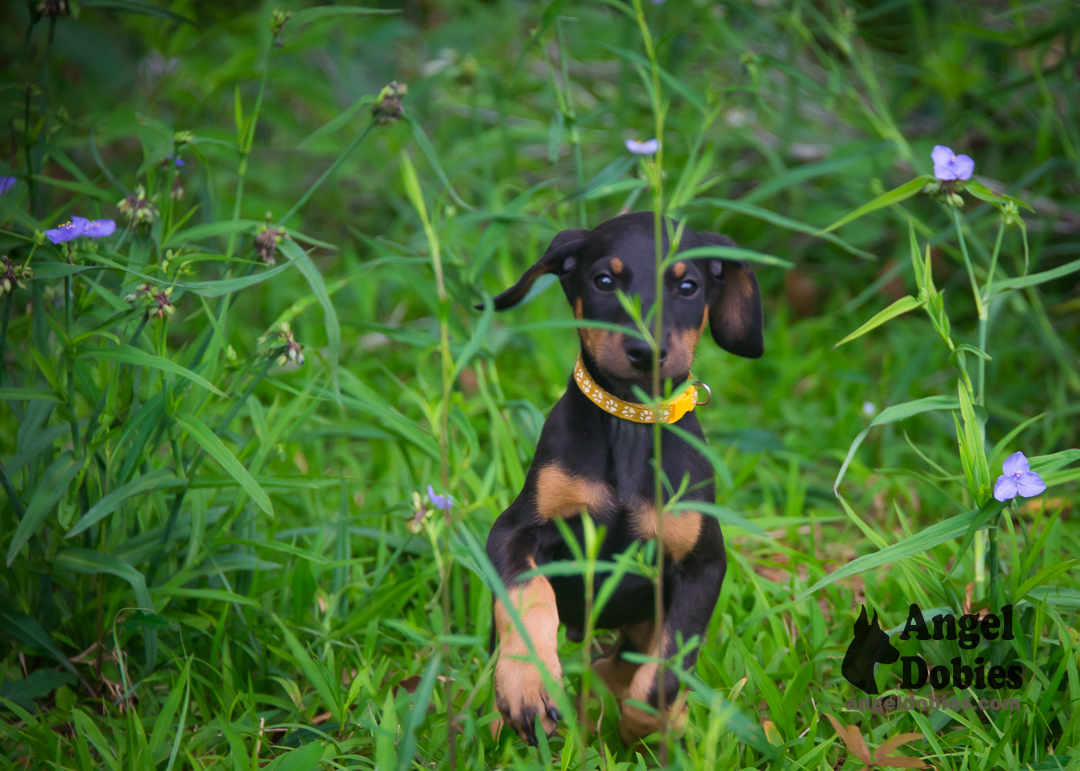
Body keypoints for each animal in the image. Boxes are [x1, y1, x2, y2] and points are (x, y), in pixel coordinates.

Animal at [486, 207, 764, 742]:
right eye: (604, 281)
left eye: (688, 286)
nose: (646, 351)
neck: (630, 422)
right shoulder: (515, 529)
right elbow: (530, 596)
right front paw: (529, 684)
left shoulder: (703, 567)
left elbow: (661, 678)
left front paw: (648, 727)